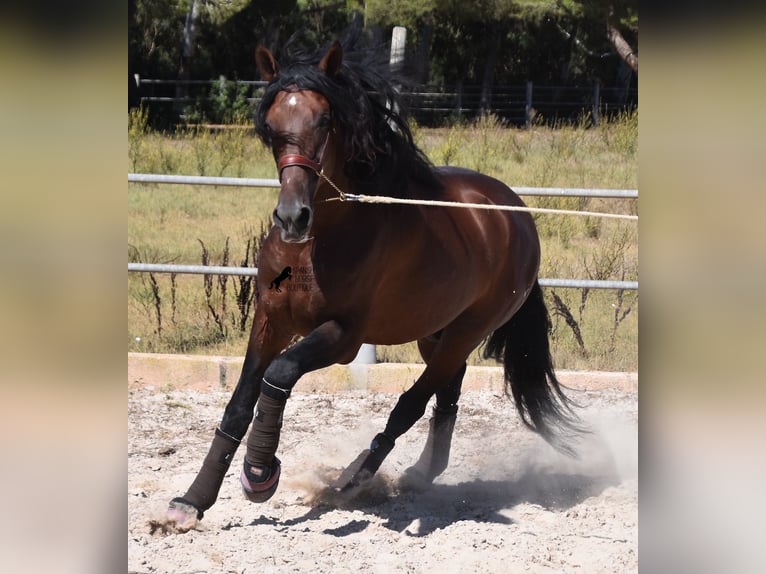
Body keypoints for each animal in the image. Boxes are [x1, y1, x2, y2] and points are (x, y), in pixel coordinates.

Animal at [168, 38, 584, 528]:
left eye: (325, 120)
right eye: (270, 126)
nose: (292, 217)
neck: (319, 242)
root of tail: (516, 213)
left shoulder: (344, 336)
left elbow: (279, 374)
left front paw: (260, 473)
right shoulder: (271, 321)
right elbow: (238, 404)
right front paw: (191, 500)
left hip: (469, 329)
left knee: (414, 399)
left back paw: (354, 477)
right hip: (435, 330)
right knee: (448, 389)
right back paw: (421, 472)